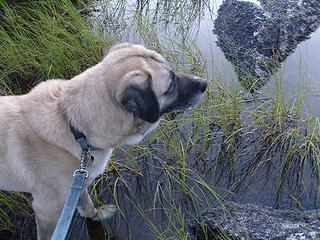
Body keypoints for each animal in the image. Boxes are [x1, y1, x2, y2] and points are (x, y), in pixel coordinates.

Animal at [0, 42, 208, 239]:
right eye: (171, 85)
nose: (204, 83)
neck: (72, 123)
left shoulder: (78, 185)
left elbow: (87, 205)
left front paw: (95, 215)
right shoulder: (47, 210)